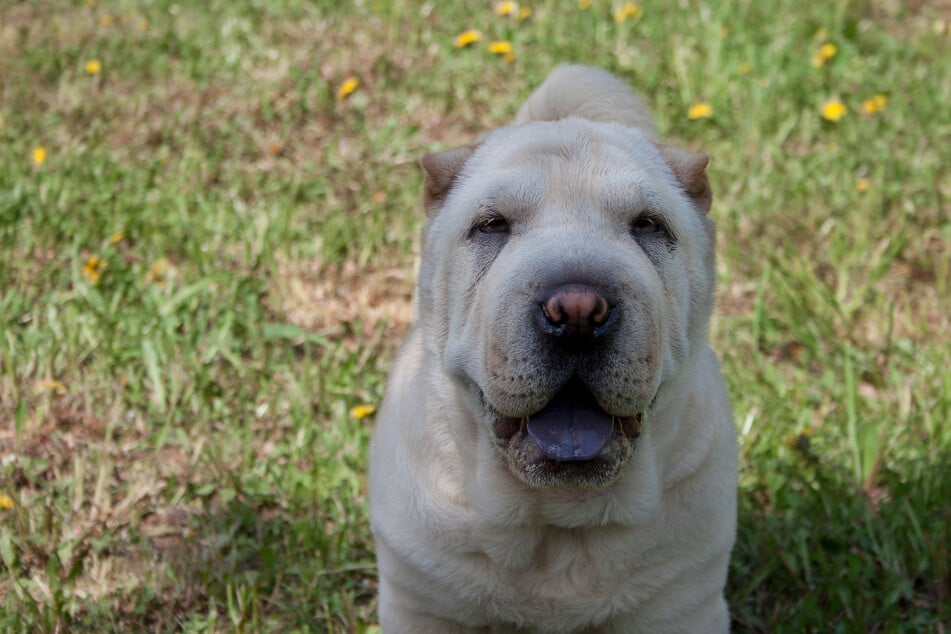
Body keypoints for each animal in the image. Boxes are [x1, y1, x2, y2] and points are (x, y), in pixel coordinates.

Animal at [368, 65, 740, 632]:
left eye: (648, 225)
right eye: (492, 225)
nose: (579, 312)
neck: (558, 529)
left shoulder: (683, 605)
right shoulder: (421, 602)